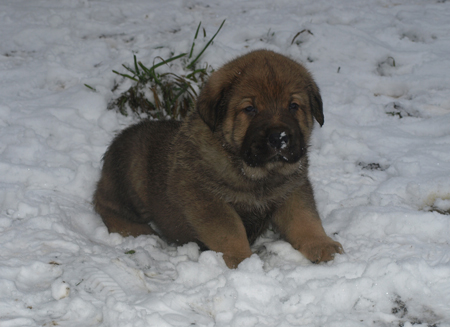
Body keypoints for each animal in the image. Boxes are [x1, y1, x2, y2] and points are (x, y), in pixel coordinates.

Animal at [93, 49, 342, 270]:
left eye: (293, 106)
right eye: (250, 109)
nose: (279, 137)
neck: (257, 175)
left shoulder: (292, 189)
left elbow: (305, 219)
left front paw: (322, 244)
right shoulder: (208, 199)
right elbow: (229, 230)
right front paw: (242, 260)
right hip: (132, 178)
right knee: (105, 203)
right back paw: (136, 230)